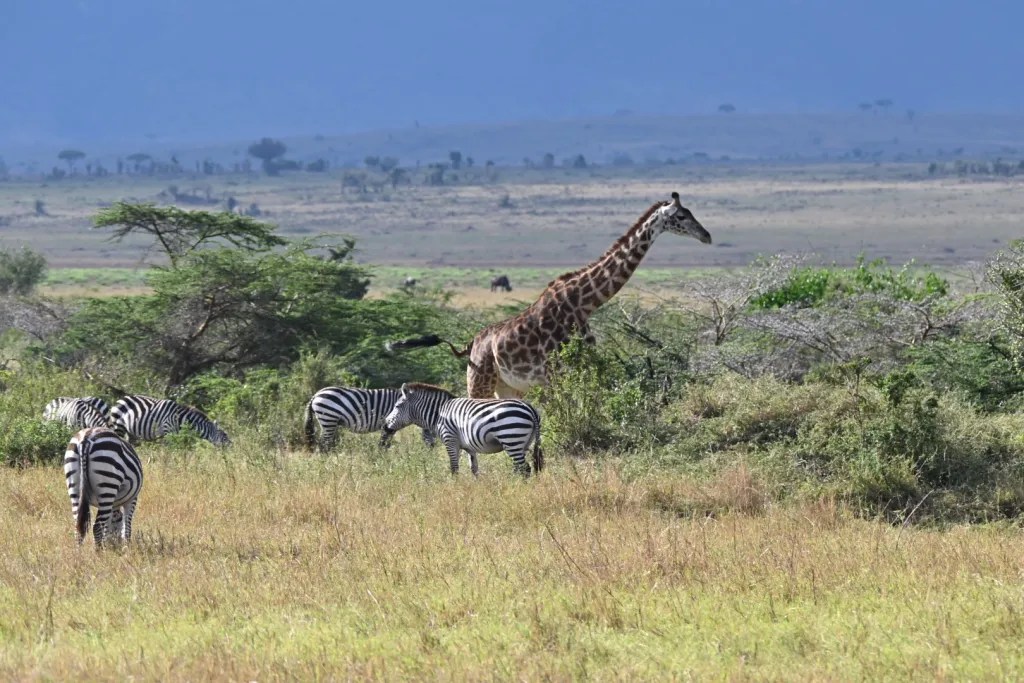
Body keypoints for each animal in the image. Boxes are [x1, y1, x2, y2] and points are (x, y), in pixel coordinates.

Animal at [303, 386, 436, 452]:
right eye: (431, 429)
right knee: (323, 445)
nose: (432, 450)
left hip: (329, 421)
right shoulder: (388, 425)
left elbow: (385, 443)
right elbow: (383, 444)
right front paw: (381, 459)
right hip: (329, 418)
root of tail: (316, 394)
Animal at [383, 382, 542, 476]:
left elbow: (454, 468)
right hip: (524, 442)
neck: (439, 413)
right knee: (523, 467)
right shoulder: (469, 447)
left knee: (525, 469)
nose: (384, 426)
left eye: (397, 406)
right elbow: (474, 469)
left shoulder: (450, 441)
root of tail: (530, 408)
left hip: (511, 438)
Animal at [387, 192, 711, 398]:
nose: (707, 235)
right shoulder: (555, 373)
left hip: (508, 387)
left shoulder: (581, 368)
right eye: (682, 215)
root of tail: (469, 345)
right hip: (479, 380)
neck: (584, 303)